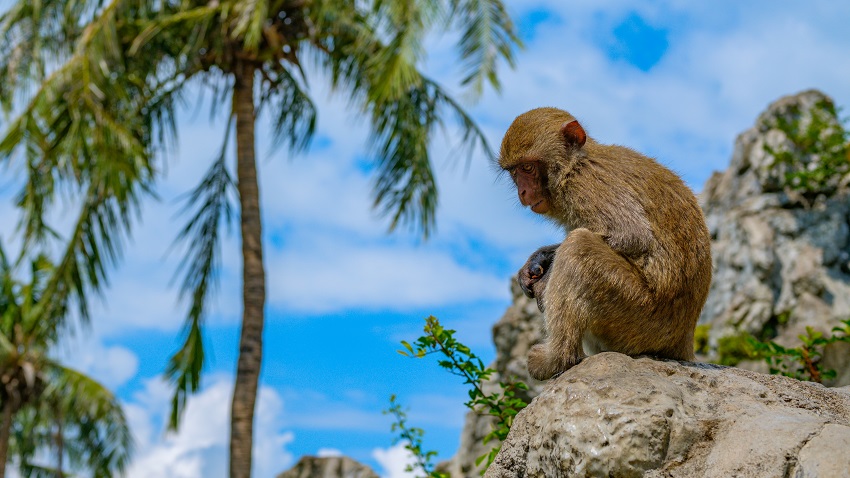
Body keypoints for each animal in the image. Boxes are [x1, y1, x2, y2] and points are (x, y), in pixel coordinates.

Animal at [500, 108, 712, 380]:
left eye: (528, 167)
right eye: (514, 172)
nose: (523, 193)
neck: (574, 165)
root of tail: (683, 341)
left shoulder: (586, 185)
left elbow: (632, 235)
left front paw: (545, 274)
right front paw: (539, 258)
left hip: (639, 314)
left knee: (578, 247)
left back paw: (556, 360)